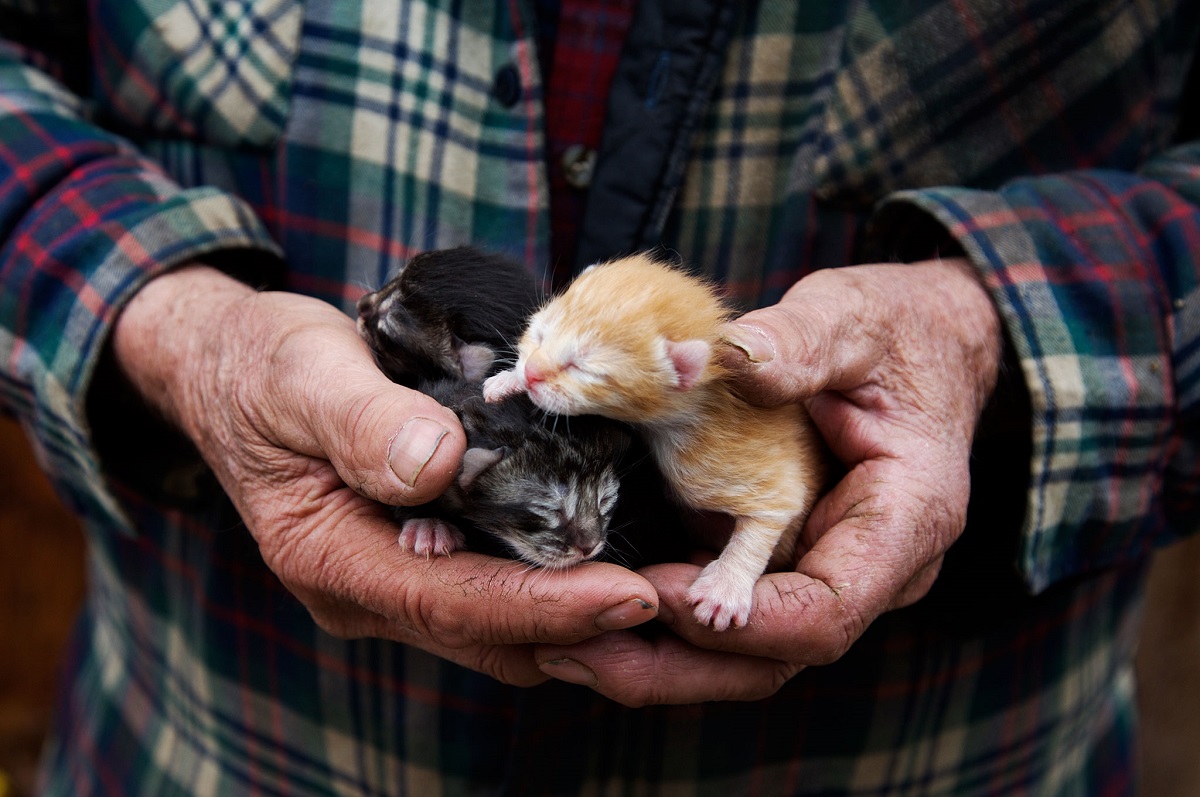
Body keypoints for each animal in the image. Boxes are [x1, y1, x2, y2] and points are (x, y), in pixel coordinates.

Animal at [482, 255, 830, 628]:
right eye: (540, 335)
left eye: (584, 369)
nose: (532, 372)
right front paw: (508, 381)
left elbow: (778, 505)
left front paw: (726, 585)